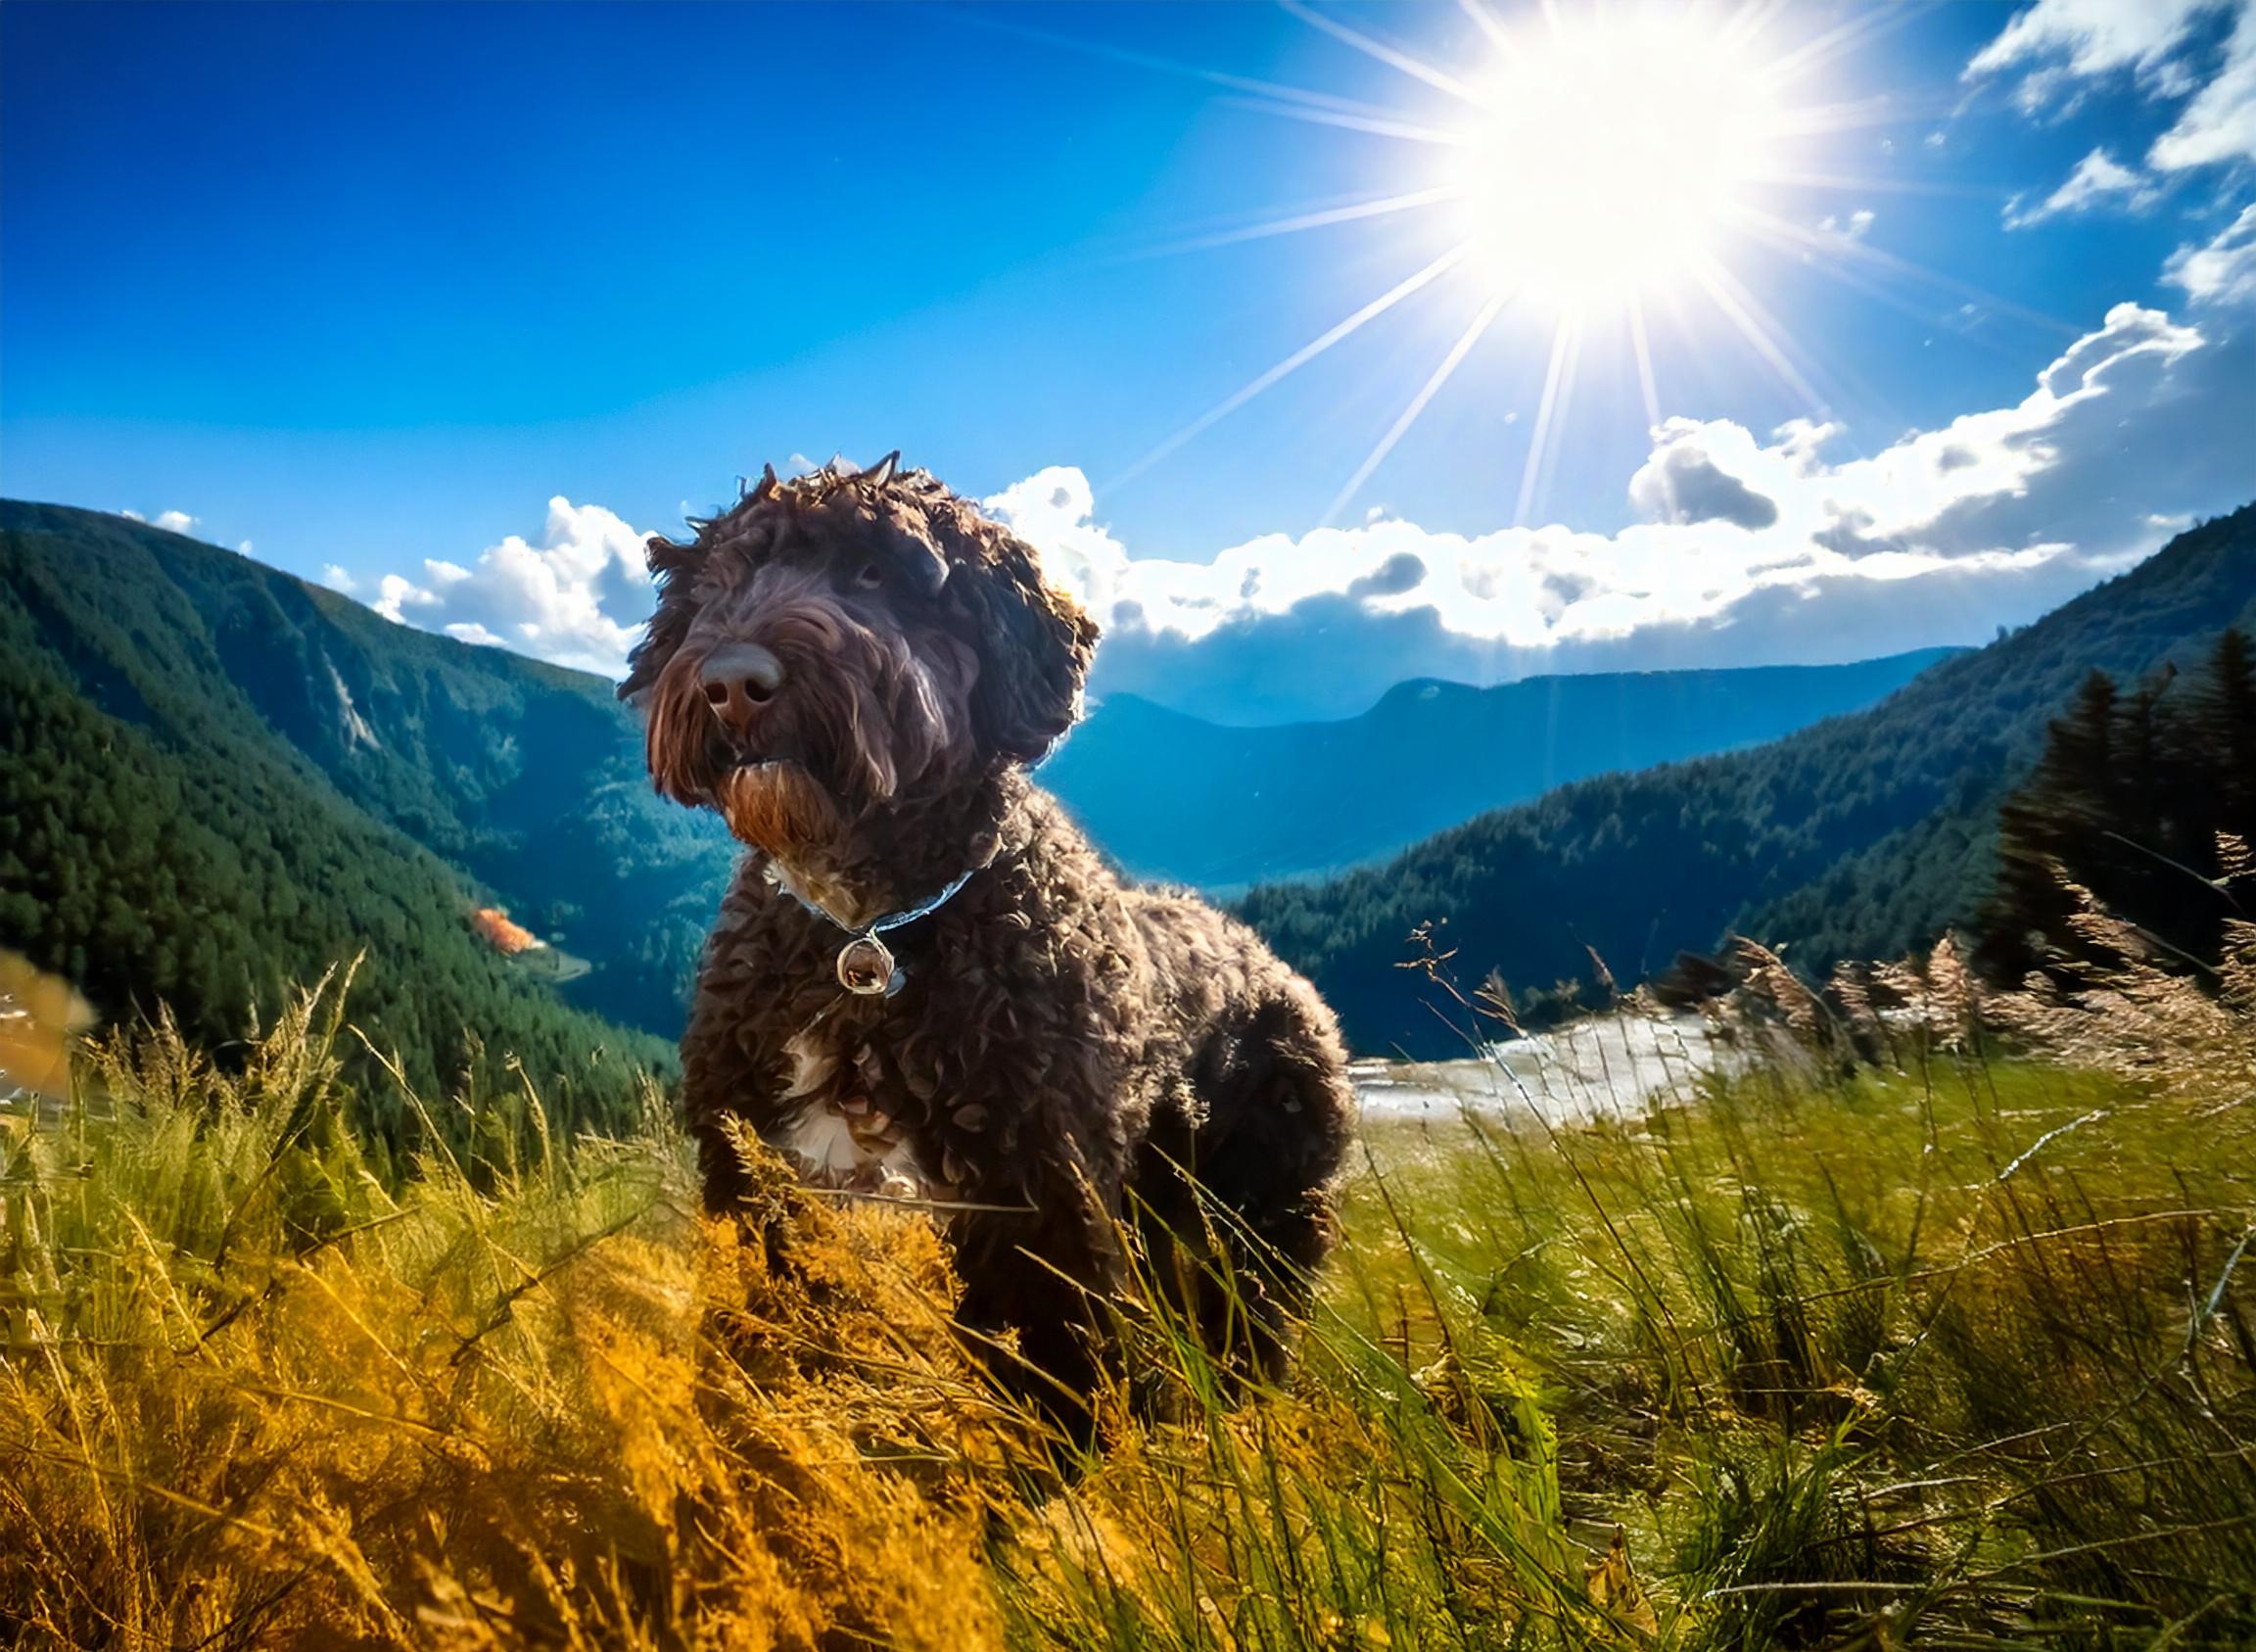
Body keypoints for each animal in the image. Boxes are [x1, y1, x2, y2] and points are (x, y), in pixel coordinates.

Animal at [622, 457, 1353, 1417]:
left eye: (875, 574)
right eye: (721, 583)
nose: (733, 680)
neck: (867, 934)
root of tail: (1278, 965)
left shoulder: (1041, 1220)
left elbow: (1051, 1399)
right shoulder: (756, 1190)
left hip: (1253, 1230)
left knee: (1245, 1341)